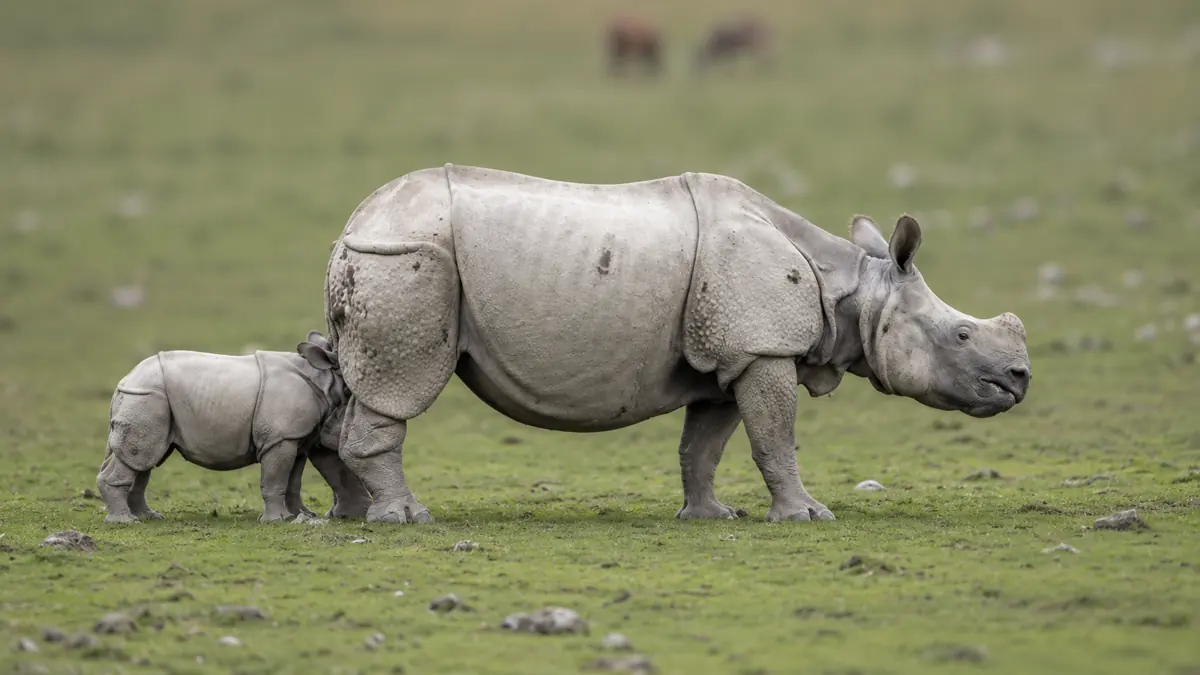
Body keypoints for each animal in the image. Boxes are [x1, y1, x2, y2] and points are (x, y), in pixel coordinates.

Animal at [96, 332, 372, 523]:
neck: (323, 377)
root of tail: (124, 381)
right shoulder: (279, 438)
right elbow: (276, 478)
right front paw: (277, 521)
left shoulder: (293, 438)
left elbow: (293, 481)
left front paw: (300, 515)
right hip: (147, 396)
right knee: (141, 456)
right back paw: (125, 522)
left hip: (149, 399)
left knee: (144, 460)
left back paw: (148, 517)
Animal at [322, 164, 1031, 524]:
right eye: (961, 334)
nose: (1020, 378)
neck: (853, 288)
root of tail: (355, 221)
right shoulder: (763, 346)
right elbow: (775, 437)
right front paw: (808, 516)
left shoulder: (735, 351)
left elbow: (708, 444)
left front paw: (711, 516)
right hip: (408, 258)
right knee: (397, 389)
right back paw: (407, 519)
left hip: (387, 258)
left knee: (355, 385)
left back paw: (356, 517)